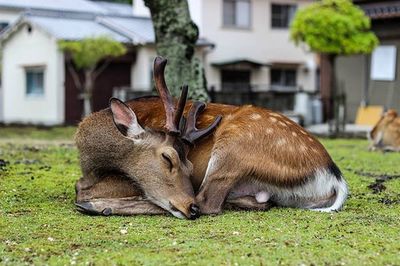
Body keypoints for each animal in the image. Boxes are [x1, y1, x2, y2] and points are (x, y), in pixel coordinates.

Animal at [74, 55, 346, 218]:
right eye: (168, 158)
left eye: (188, 163)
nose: (189, 208)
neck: (91, 164)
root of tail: (335, 178)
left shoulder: (128, 180)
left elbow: (82, 189)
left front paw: (92, 200)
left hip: (233, 149)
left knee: (207, 202)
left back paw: (98, 207)